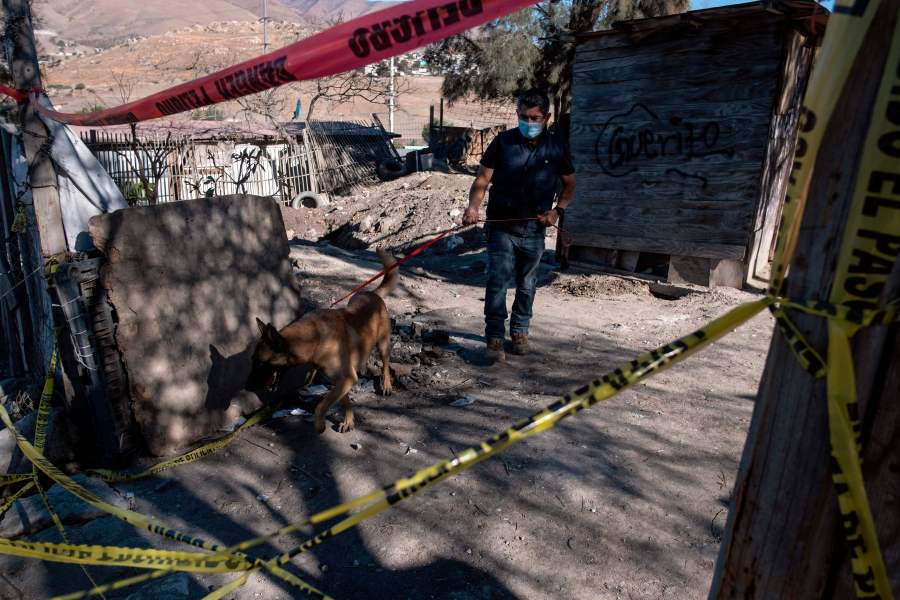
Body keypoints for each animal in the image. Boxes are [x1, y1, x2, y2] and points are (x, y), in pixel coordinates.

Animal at [244, 250, 396, 436]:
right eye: (253, 361)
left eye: (261, 363)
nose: (246, 387)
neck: (313, 339)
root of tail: (373, 294)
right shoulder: (342, 379)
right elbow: (344, 400)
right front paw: (349, 421)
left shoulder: (345, 378)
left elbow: (321, 405)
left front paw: (319, 424)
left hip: (383, 345)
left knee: (386, 365)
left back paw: (387, 384)